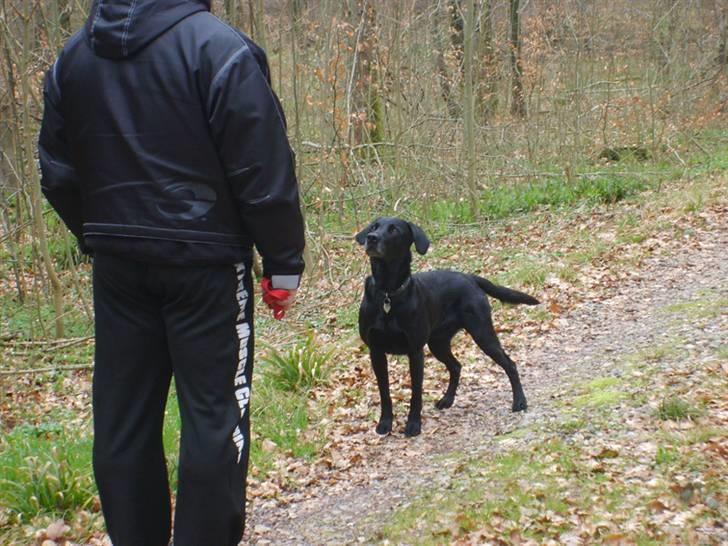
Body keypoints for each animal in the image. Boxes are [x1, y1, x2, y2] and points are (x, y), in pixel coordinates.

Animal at [356, 216, 536, 434]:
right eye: (374, 227)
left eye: (394, 230)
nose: (371, 238)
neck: (388, 294)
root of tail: (469, 277)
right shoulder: (376, 351)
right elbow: (384, 393)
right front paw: (385, 423)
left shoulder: (415, 351)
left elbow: (416, 393)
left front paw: (413, 425)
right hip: (438, 343)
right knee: (456, 366)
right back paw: (447, 400)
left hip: (482, 332)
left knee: (509, 363)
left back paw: (519, 401)